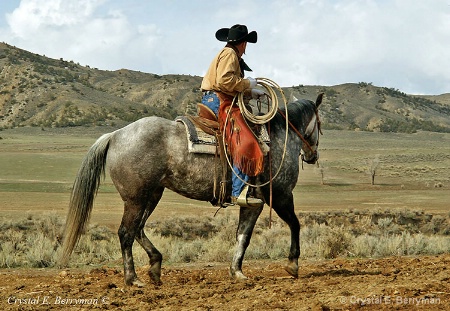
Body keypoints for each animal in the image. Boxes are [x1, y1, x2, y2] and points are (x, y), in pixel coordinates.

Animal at [60, 93, 324, 288]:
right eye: (320, 125)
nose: (313, 156)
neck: (279, 137)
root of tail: (115, 135)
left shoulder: (253, 203)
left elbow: (243, 235)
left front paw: (236, 272)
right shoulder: (281, 196)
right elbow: (295, 224)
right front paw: (292, 264)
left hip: (152, 195)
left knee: (138, 229)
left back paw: (155, 267)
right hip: (136, 198)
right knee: (126, 232)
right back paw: (133, 279)